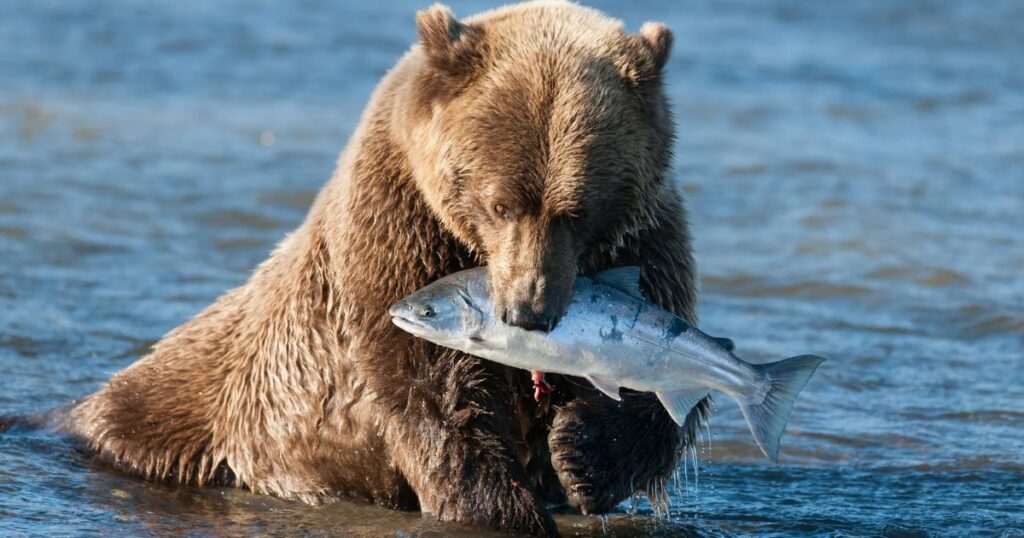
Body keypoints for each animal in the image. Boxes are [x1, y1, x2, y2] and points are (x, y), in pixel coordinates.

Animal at [64, 2, 704, 532]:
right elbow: (434, 390)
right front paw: (503, 507)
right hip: (197, 410)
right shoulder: (399, 230)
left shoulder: (645, 240)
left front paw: (580, 451)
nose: (529, 311)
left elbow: (663, 383)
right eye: (500, 204)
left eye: (577, 211)